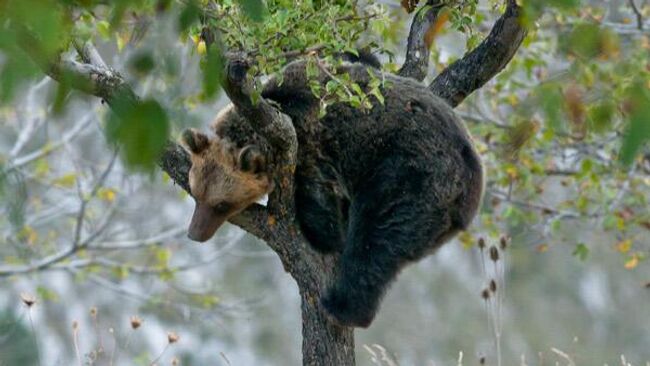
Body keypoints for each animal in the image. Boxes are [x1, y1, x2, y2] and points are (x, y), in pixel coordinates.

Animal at [180, 58, 478, 328]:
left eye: (221, 204)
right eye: (195, 194)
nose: (195, 233)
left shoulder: (311, 146)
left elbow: (319, 208)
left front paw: (324, 234)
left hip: (411, 175)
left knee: (377, 238)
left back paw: (342, 306)